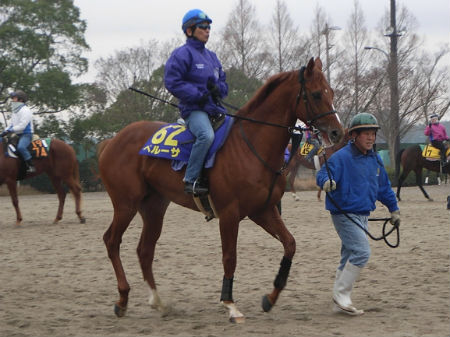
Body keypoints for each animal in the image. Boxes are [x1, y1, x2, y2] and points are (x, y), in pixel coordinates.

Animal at [98, 57, 344, 320]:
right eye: (316, 94)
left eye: (331, 92)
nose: (337, 132)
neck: (251, 146)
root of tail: (112, 141)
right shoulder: (229, 214)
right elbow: (230, 257)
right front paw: (229, 303)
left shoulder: (263, 210)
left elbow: (290, 244)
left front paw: (270, 298)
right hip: (126, 204)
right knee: (112, 241)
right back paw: (123, 298)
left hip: (153, 207)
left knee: (144, 250)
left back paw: (158, 302)